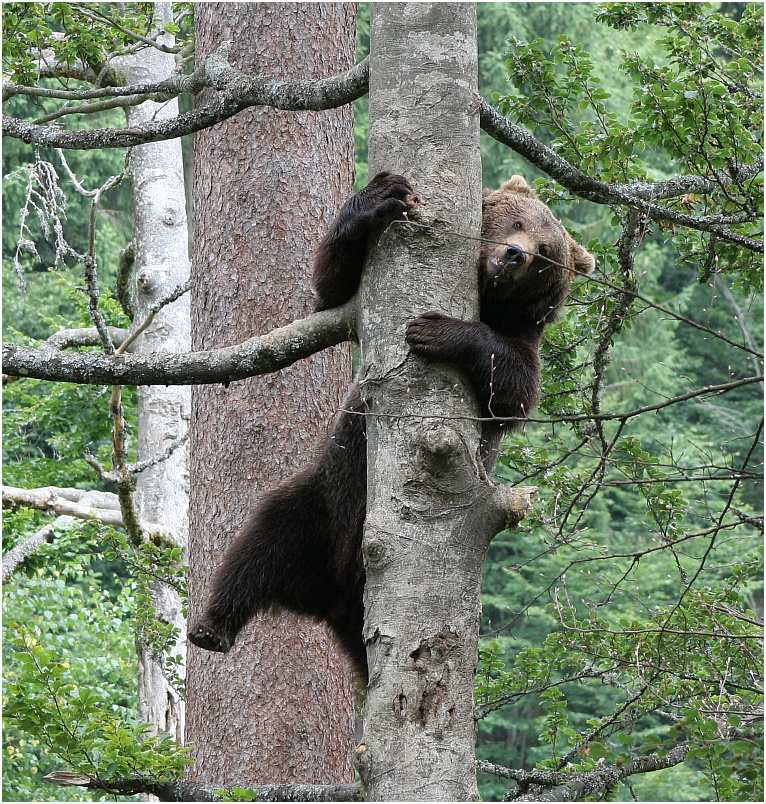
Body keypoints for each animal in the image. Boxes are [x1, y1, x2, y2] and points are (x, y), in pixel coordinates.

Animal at [189, 171, 596, 680]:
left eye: (545, 252)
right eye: (516, 221)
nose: (514, 255)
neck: (487, 297)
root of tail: (335, 598)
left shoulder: (521, 338)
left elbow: (513, 389)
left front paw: (436, 330)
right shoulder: (351, 305)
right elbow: (331, 291)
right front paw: (378, 198)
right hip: (322, 505)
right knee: (259, 544)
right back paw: (212, 626)